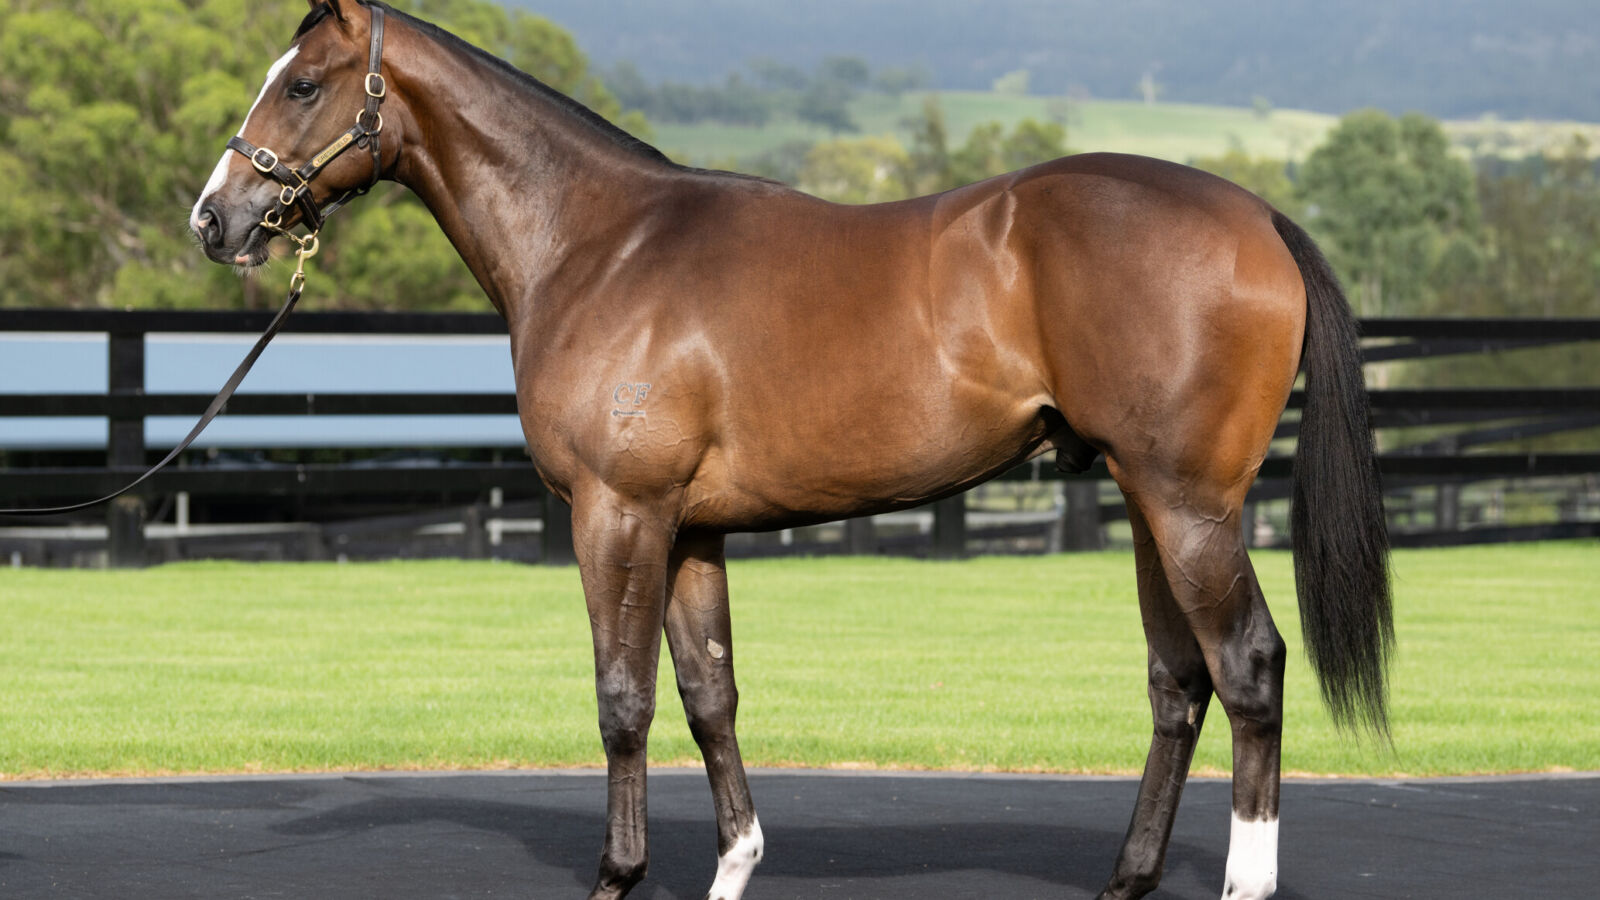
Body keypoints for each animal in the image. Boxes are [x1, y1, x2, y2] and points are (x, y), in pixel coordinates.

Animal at [189, 3, 1392, 898]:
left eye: (304, 85)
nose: (215, 218)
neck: (598, 245)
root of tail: (1259, 218)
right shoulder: (691, 530)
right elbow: (707, 695)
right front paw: (733, 863)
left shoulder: (618, 512)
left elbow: (622, 697)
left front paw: (618, 874)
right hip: (1149, 503)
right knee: (1178, 683)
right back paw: (1127, 877)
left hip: (1190, 505)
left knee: (1247, 667)